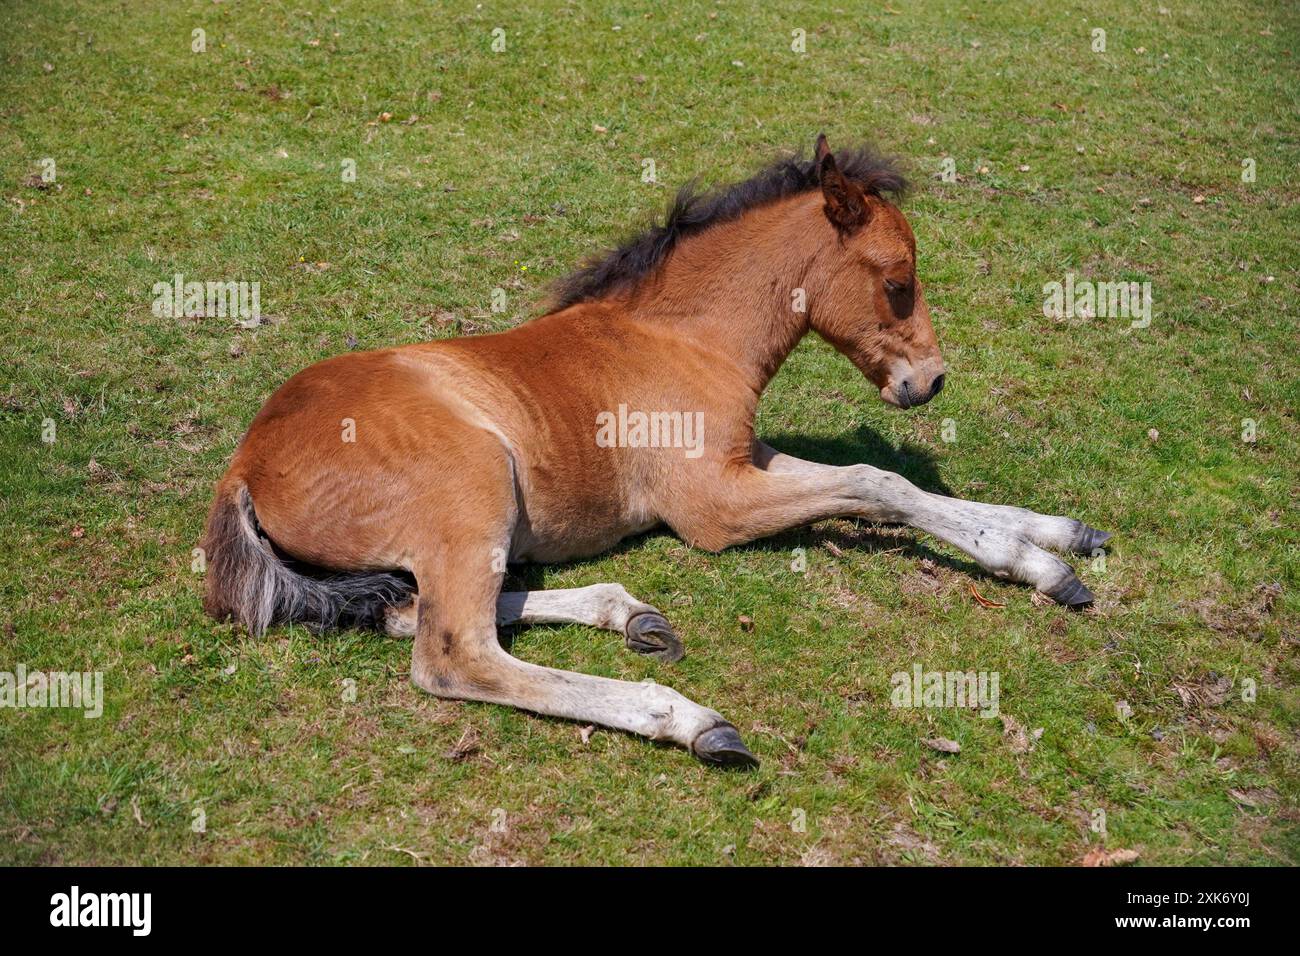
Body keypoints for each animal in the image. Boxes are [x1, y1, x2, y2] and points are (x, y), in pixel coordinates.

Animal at [202, 134, 1107, 764]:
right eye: (898, 282)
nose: (932, 380)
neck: (685, 337)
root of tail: (243, 465)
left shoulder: (748, 462)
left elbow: (889, 483)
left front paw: (1057, 538)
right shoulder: (713, 508)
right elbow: (872, 481)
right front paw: (1042, 565)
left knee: (401, 610)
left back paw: (631, 615)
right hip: (475, 485)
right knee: (453, 653)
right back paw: (689, 718)